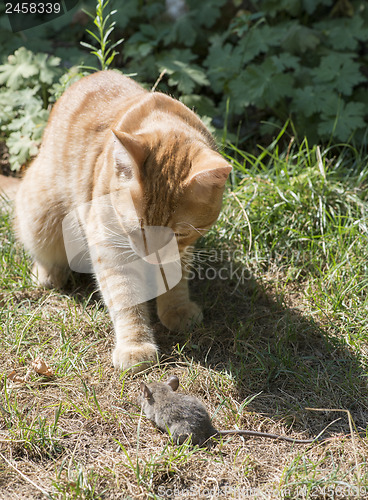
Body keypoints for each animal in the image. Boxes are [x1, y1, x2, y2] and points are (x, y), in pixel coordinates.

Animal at [12, 71, 231, 376]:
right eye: (137, 228)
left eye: (177, 233)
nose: (150, 256)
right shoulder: (109, 246)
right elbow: (126, 296)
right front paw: (135, 346)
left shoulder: (182, 249)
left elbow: (174, 281)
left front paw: (176, 308)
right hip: (40, 217)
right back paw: (49, 273)